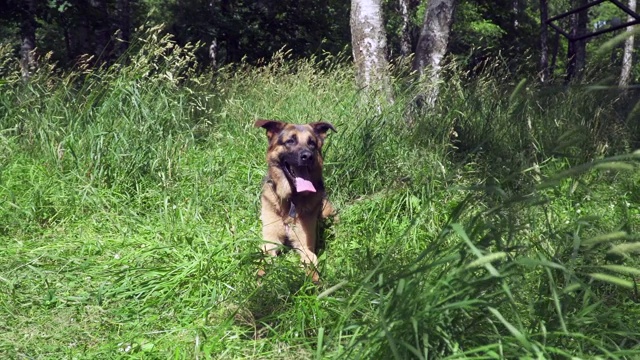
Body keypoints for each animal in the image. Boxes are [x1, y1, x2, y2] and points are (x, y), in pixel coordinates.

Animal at [254, 119, 338, 282]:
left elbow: (311, 265)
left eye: (312, 143)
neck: (290, 199)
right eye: (290, 141)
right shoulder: (270, 242)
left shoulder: (305, 247)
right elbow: (262, 261)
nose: (308, 156)